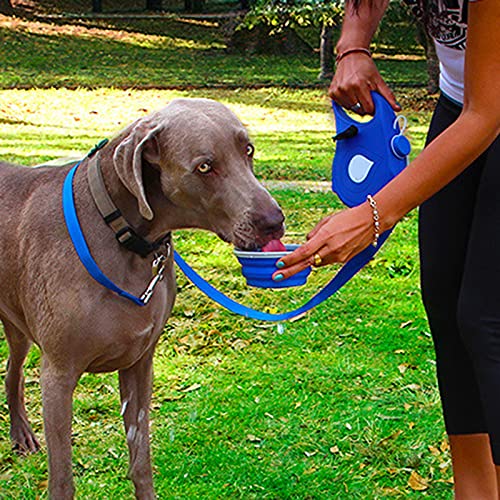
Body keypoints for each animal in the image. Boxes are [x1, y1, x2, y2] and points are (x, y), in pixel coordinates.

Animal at [0, 96, 286, 496]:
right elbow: (63, 480)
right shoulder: (58, 373)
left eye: (248, 150)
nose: (274, 221)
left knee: (11, 370)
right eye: (204, 166)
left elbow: (141, 459)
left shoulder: (140, 361)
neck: (123, 234)